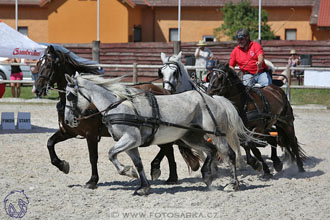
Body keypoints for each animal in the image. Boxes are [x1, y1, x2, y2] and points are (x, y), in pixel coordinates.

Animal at [33, 45, 200, 189]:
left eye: (49, 65)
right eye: (38, 64)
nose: (36, 89)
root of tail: (165, 91)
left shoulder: (90, 134)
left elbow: (93, 157)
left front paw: (92, 181)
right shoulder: (68, 131)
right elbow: (50, 143)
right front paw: (62, 165)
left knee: (168, 148)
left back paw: (167, 174)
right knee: (168, 148)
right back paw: (167, 174)